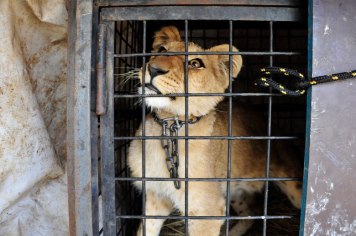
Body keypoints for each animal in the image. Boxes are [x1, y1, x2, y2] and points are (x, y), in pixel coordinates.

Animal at [126, 25, 302, 236]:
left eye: (195, 63)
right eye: (161, 50)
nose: (153, 69)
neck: (169, 125)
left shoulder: (206, 211)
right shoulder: (156, 197)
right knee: (250, 214)